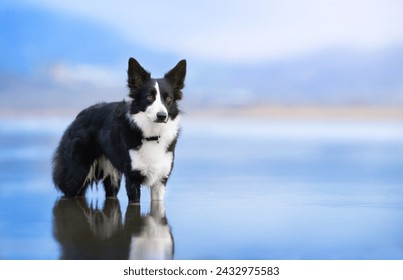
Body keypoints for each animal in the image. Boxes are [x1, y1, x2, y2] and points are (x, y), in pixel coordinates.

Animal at [51, 58, 187, 202]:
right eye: (149, 97)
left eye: (168, 99)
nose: (162, 116)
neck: (152, 135)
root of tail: (79, 116)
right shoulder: (132, 179)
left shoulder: (160, 180)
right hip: (77, 173)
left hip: (112, 178)